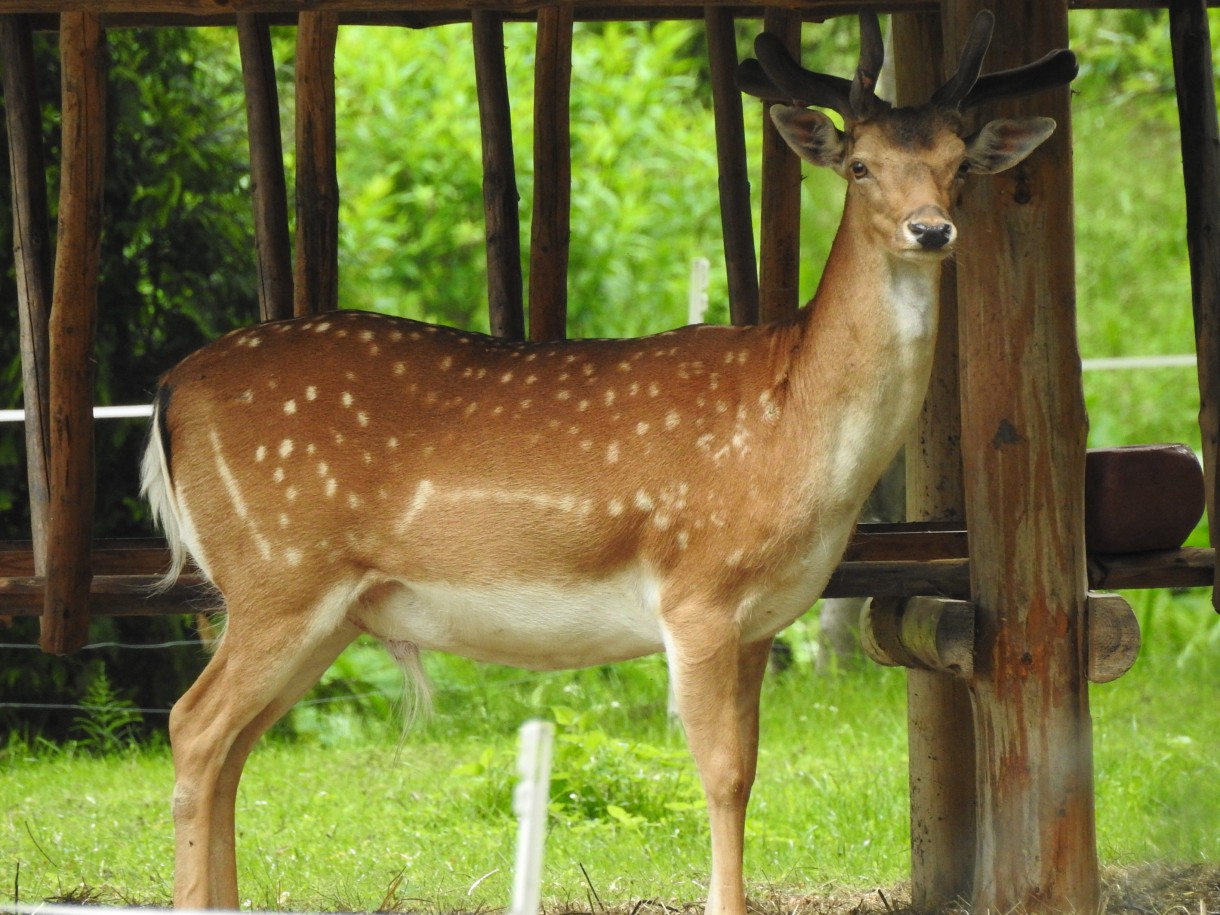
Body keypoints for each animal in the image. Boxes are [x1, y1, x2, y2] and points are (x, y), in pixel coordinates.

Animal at [142, 14, 1078, 915]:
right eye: (859, 165)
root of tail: (168, 392)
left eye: (959, 165)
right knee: (193, 725)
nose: (932, 228)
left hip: (319, 606)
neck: (794, 430)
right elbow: (721, 774)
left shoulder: (762, 620)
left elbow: (751, 771)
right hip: (278, 574)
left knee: (232, 748)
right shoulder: (698, 589)